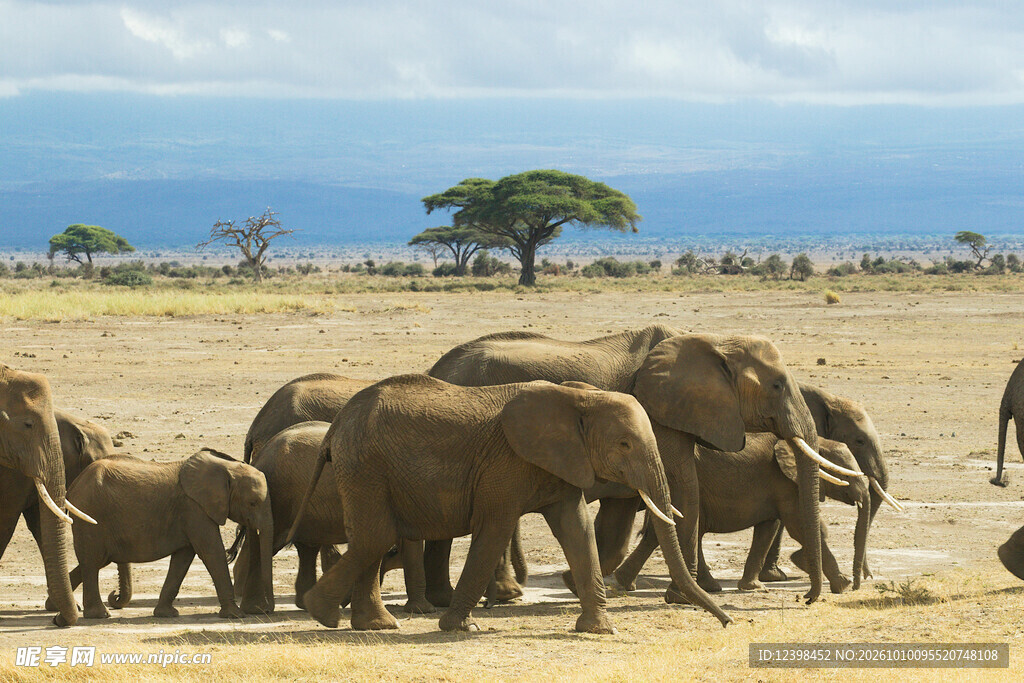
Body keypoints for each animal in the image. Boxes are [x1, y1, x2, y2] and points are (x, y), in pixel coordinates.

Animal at [66, 449, 273, 620]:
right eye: (253, 503)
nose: (266, 610)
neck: (226, 467)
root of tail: (74, 484)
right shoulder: (194, 508)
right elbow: (211, 552)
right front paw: (236, 615)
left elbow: (183, 558)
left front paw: (166, 614)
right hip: (90, 515)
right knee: (92, 561)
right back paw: (99, 615)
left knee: (94, 561)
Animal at [232, 420, 427, 614]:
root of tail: (261, 454)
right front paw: (422, 610)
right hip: (280, 497)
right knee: (266, 544)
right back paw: (258, 607)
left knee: (303, 546)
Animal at [292, 375, 732, 633]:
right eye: (624, 444)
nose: (728, 622)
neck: (577, 396)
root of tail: (335, 426)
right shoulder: (504, 464)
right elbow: (495, 530)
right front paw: (458, 628)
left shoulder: (561, 462)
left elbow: (577, 530)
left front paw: (598, 630)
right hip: (366, 465)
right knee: (376, 535)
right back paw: (322, 613)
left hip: (364, 467)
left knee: (371, 537)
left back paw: (373, 626)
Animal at [616, 434, 870, 595]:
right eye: (844, 472)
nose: (860, 583)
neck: (815, 442)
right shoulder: (786, 481)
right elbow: (798, 525)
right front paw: (843, 585)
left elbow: (769, 528)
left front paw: (753, 588)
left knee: (668, 533)